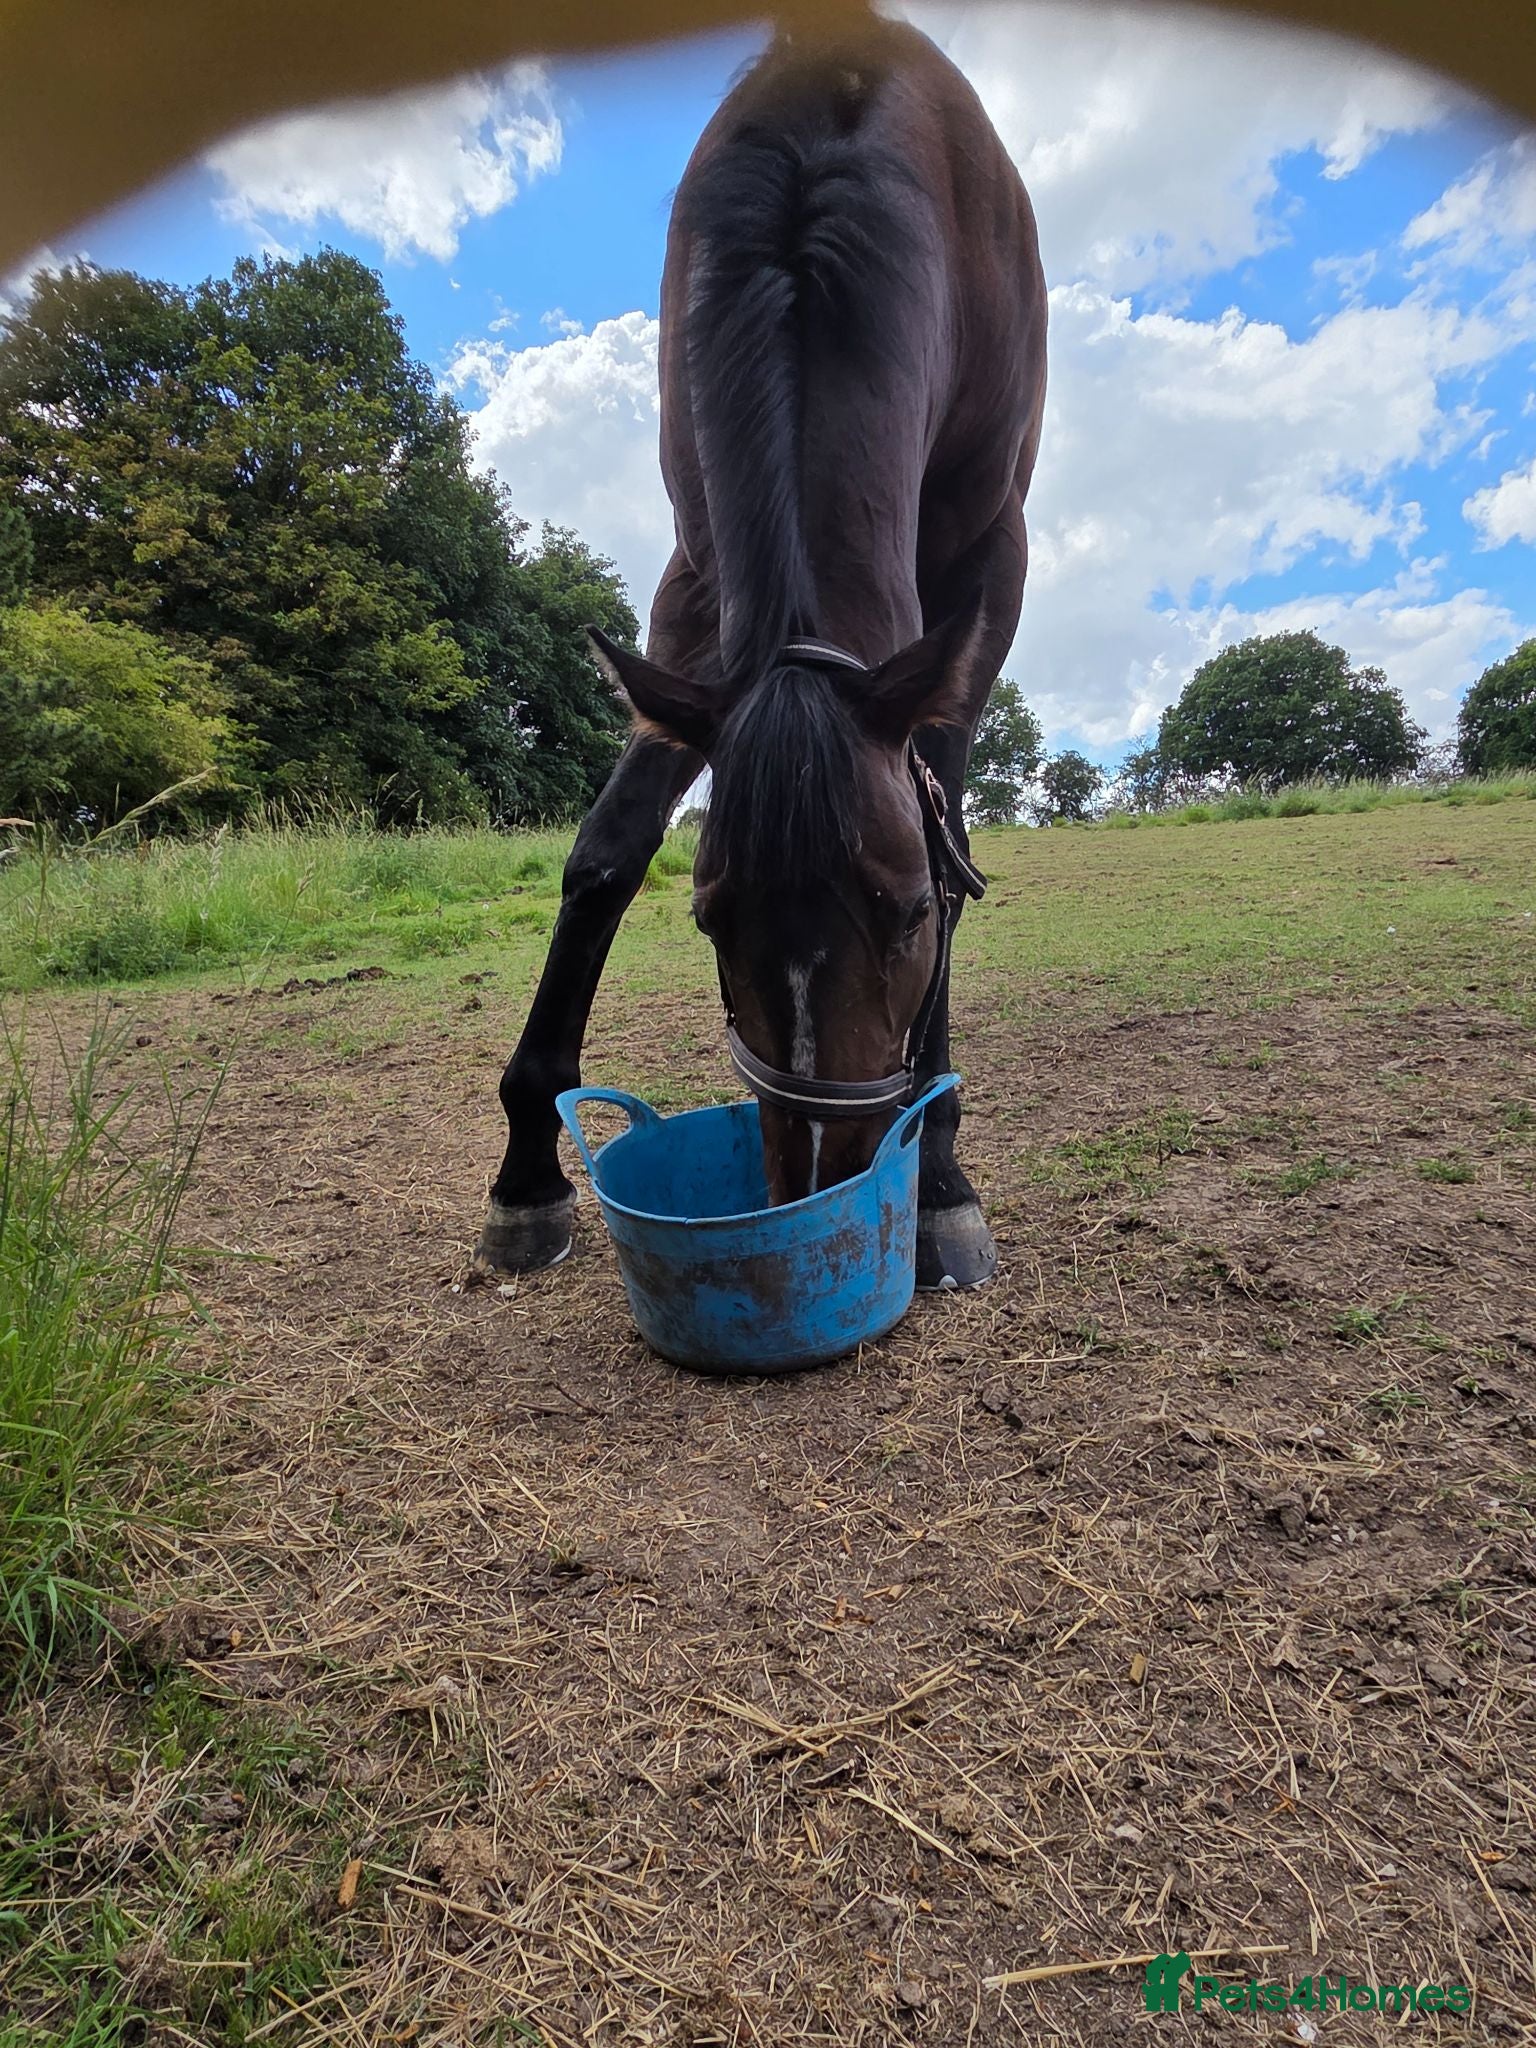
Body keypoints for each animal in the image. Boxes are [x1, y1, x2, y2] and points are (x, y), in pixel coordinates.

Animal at [474, 16, 1047, 1292]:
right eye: (709, 920)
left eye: (904, 915)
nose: (825, 1172)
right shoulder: (692, 591)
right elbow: (604, 853)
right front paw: (527, 1170)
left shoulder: (990, 566)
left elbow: (954, 847)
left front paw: (939, 1180)